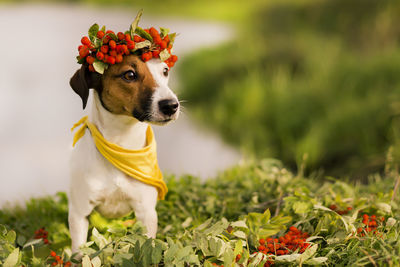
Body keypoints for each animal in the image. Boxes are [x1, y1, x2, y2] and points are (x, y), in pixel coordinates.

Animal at [68, 54, 180, 253]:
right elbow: (79, 251)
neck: (121, 146)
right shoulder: (79, 213)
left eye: (165, 70)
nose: (171, 105)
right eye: (130, 74)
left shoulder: (146, 212)